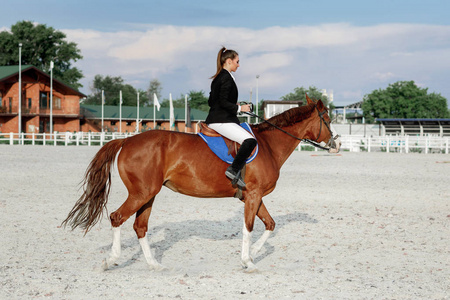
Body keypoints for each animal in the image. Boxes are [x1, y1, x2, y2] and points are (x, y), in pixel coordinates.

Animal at [61, 96, 340, 272]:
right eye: (326, 119)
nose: (336, 143)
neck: (268, 144)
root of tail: (127, 140)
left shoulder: (254, 196)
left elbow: (269, 225)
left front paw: (250, 256)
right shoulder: (253, 195)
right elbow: (249, 228)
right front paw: (248, 262)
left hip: (148, 195)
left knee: (140, 227)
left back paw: (154, 265)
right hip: (141, 193)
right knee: (117, 217)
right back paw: (111, 260)